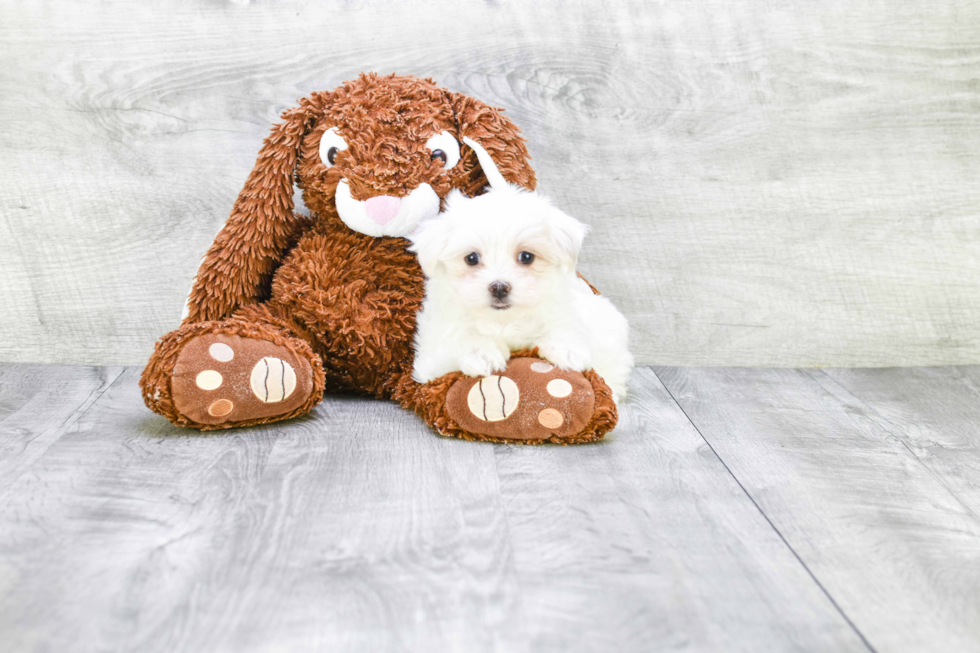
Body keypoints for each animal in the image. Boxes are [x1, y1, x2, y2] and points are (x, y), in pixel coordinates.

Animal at [408, 138, 632, 402]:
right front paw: (480, 353)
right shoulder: (430, 358)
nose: (499, 287)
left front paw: (566, 349)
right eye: (471, 258)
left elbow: (564, 324)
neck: (504, 321)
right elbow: (458, 340)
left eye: (526, 257)